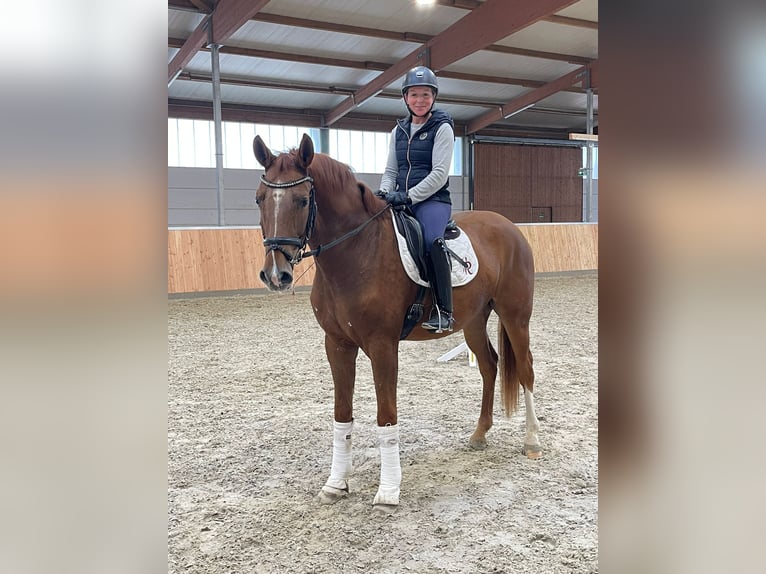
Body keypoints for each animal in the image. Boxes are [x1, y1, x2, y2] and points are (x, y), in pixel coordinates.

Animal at [252, 133, 540, 513]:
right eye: (259, 198)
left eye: (301, 200)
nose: (276, 275)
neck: (357, 251)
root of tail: (509, 227)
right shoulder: (337, 345)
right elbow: (341, 414)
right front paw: (335, 484)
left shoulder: (382, 346)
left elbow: (386, 416)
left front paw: (388, 492)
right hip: (474, 321)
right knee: (489, 366)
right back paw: (479, 435)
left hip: (515, 316)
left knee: (524, 369)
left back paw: (532, 442)